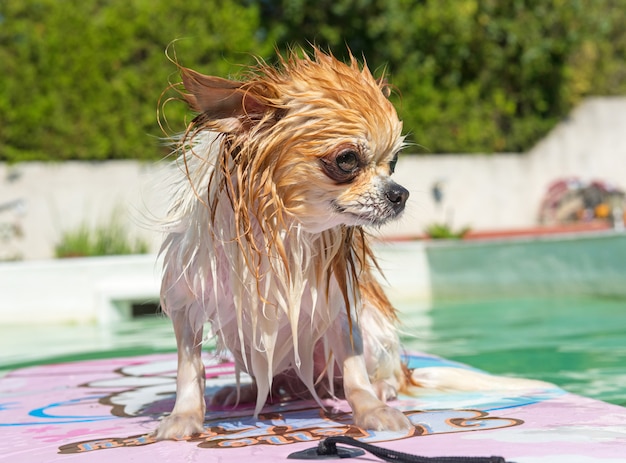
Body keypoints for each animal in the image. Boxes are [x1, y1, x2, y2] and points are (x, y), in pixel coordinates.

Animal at [153, 48, 412, 442]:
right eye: (347, 159)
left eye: (393, 163)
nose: (400, 193)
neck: (282, 226)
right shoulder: (187, 302)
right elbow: (189, 370)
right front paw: (183, 416)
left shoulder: (338, 306)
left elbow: (354, 371)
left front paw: (371, 409)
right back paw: (246, 392)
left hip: (372, 326)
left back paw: (384, 386)